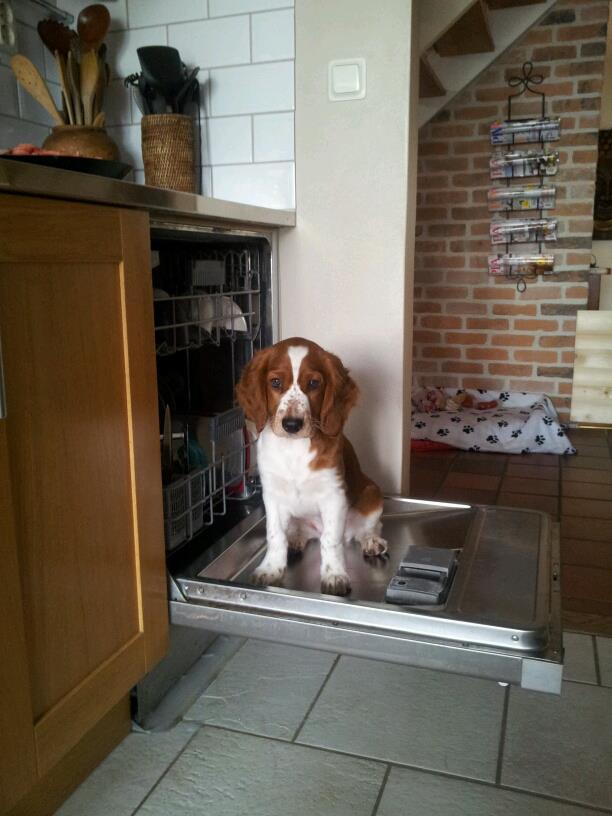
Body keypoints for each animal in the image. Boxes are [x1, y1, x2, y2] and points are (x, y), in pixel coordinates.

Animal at [236, 337, 387, 596]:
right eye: (275, 382)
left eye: (314, 383)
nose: (292, 424)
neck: (294, 448)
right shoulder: (272, 495)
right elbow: (275, 535)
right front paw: (271, 568)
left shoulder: (334, 495)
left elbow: (331, 540)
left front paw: (334, 575)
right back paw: (295, 538)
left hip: (372, 494)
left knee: (370, 527)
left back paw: (372, 541)